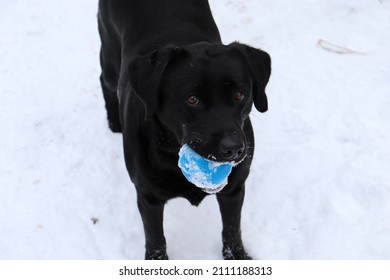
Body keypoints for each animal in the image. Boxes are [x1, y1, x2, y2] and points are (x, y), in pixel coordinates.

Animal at [97, 0, 272, 260]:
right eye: (192, 99)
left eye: (240, 94)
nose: (234, 149)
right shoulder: (148, 197)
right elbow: (155, 239)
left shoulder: (234, 188)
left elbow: (232, 228)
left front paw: (238, 257)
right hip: (109, 54)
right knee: (104, 80)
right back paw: (113, 122)